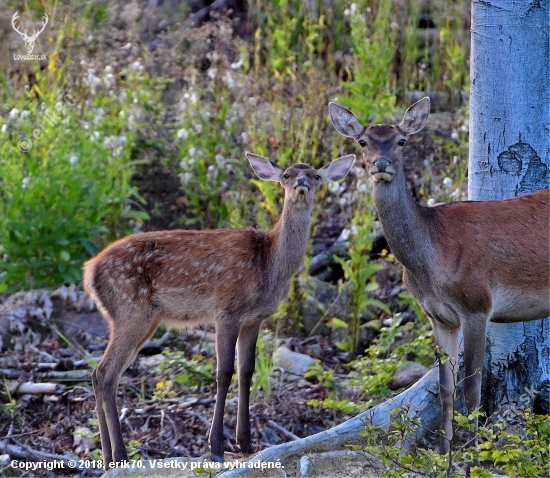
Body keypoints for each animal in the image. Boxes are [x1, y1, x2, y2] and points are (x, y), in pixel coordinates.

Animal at [84, 151, 356, 468]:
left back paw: (108, 459)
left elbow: (247, 371)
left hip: (141, 319)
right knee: (105, 373)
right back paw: (120, 456)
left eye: (315, 175)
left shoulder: (254, 319)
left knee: (102, 375)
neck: (269, 265)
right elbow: (224, 372)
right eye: (287, 174)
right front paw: (216, 446)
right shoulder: (227, 309)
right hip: (131, 310)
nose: (301, 182)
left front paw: (246, 443)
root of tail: (89, 272)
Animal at [330, 98, 548, 456]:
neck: (430, 265)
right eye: (362, 141)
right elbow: (446, 389)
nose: (381, 164)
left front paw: (473, 453)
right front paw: (442, 453)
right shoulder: (439, 317)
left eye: (401, 141)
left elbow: (471, 389)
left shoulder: (476, 304)